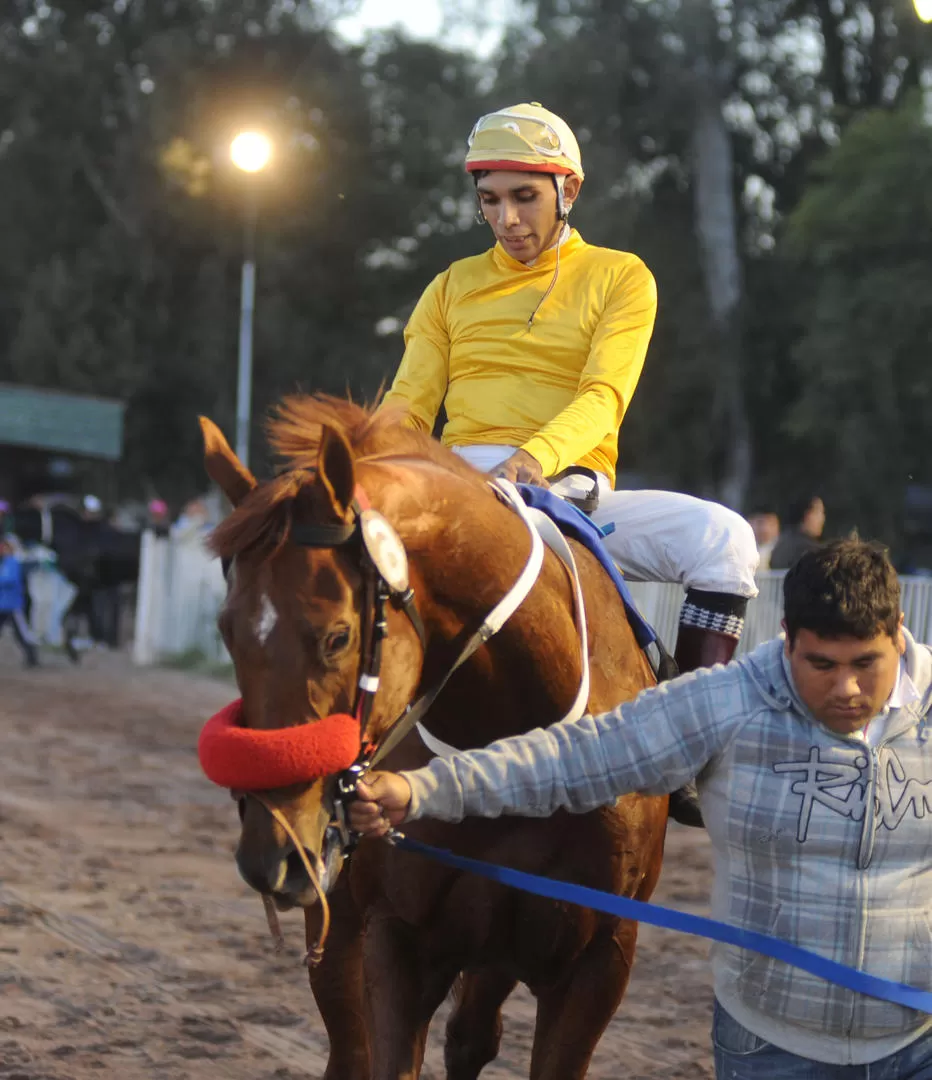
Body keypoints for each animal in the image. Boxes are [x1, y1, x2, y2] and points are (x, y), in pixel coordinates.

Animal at [200, 397, 669, 1080]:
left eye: (338, 636)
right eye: (227, 629)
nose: (272, 851)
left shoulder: (601, 958)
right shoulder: (399, 940)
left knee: (471, 1036)